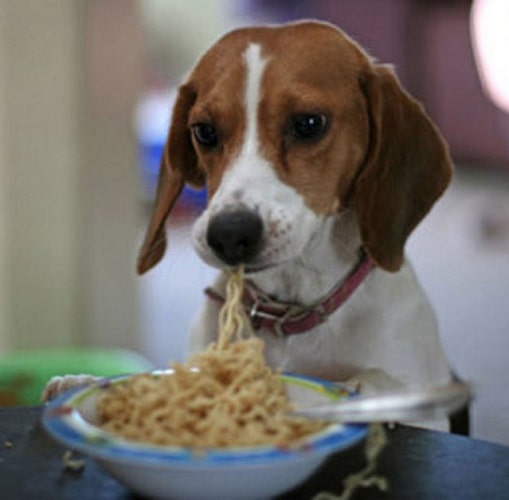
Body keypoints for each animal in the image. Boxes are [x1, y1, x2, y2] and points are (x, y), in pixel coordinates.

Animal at [43, 20, 464, 434]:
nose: (229, 234)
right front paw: (83, 384)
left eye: (309, 124)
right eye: (204, 131)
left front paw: (366, 391)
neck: (289, 313)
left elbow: (386, 385)